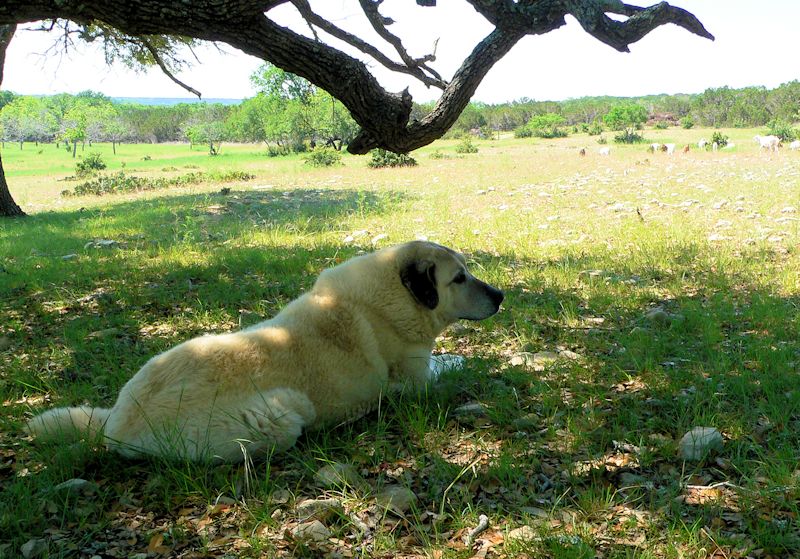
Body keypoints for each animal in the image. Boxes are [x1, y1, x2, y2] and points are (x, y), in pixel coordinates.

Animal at [28, 241, 504, 464]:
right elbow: (450, 362)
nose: (500, 296)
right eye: (459, 278)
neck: (395, 294)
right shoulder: (416, 378)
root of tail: (116, 423)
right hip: (284, 414)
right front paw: (471, 359)